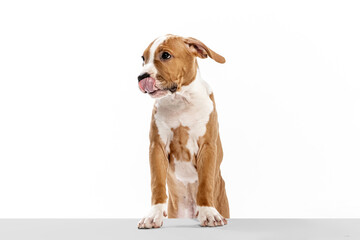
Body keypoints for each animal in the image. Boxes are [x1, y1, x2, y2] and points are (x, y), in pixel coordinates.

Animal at [136, 34, 229, 229]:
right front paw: (153, 215)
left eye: (165, 55)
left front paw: (208, 212)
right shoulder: (156, 147)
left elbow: (205, 182)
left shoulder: (208, 147)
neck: (180, 99)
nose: (141, 77)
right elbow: (156, 183)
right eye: (143, 58)